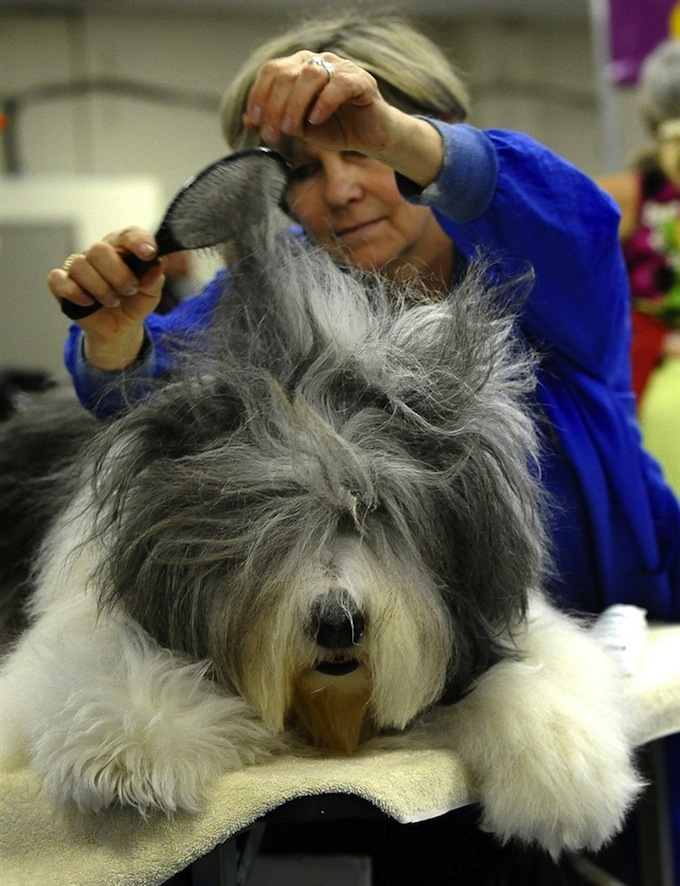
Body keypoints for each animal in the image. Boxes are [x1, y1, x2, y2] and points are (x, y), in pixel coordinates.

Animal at [0, 232, 640, 856]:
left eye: (379, 510)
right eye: (274, 517)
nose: (338, 624)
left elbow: (540, 667)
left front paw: (565, 788)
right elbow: (103, 658)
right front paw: (126, 754)